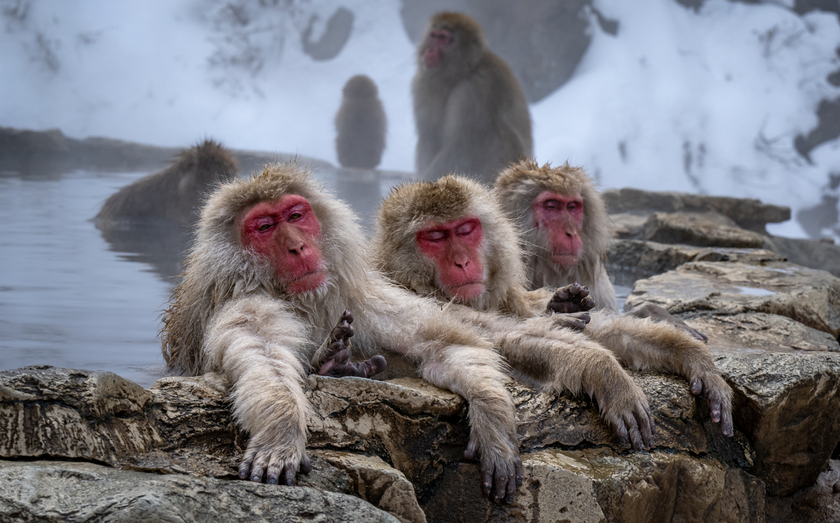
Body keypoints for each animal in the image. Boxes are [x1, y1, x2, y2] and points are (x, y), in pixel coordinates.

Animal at [160, 163, 520, 504]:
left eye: (295, 216)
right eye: (264, 227)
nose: (297, 247)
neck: (305, 301)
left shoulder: (360, 297)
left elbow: (449, 344)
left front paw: (493, 419)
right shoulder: (244, 303)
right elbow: (265, 359)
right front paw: (282, 430)